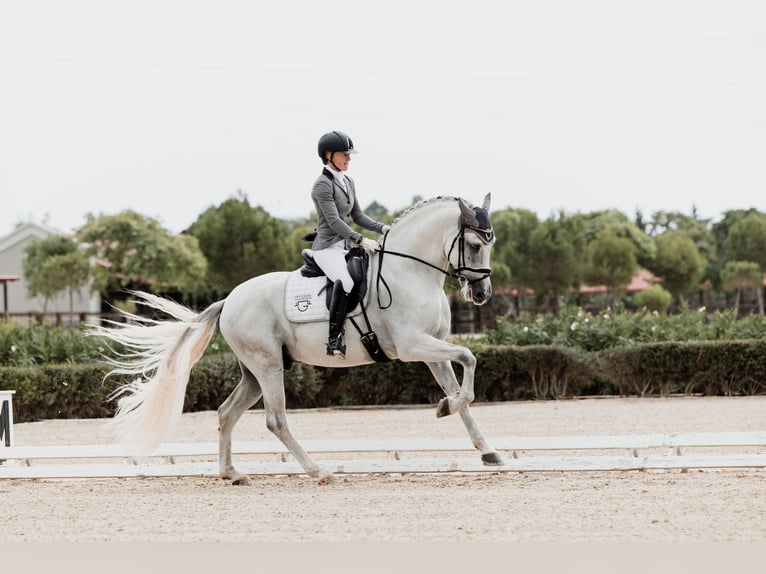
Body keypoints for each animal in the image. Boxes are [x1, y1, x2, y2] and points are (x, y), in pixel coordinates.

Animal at [96, 195, 504, 486]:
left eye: (492, 242)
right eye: (473, 244)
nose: (481, 294)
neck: (410, 270)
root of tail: (229, 300)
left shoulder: (432, 348)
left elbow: (462, 388)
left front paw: (486, 449)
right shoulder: (411, 346)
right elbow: (470, 358)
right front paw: (444, 408)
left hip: (254, 371)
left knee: (227, 413)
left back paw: (232, 474)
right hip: (268, 366)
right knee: (275, 420)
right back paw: (318, 471)